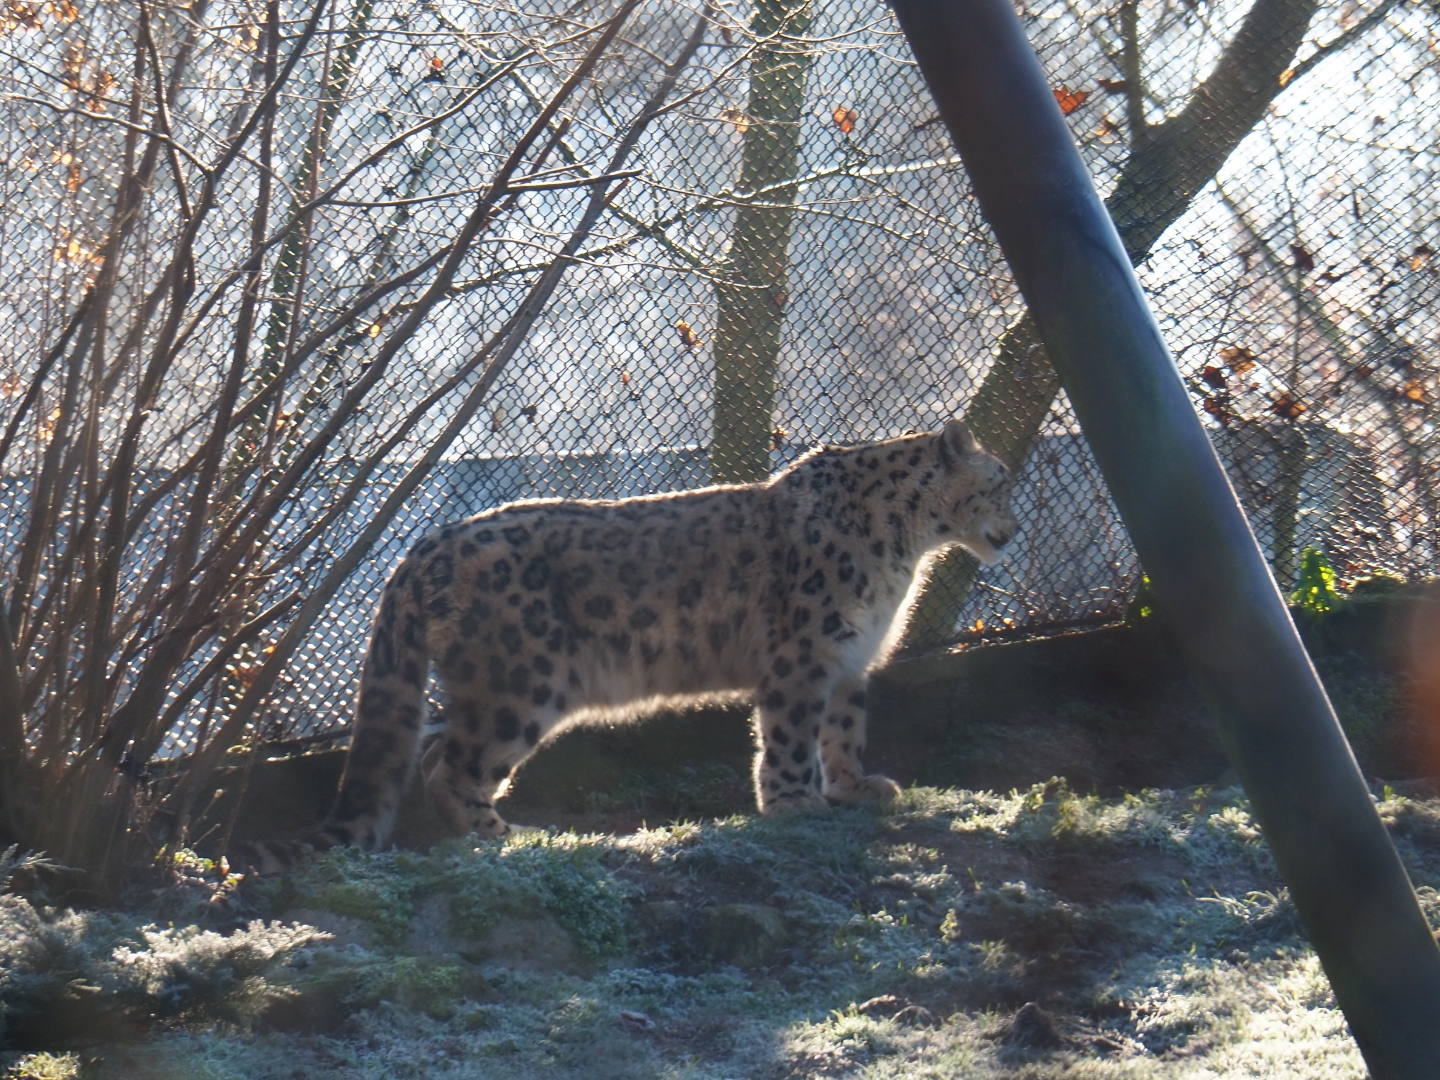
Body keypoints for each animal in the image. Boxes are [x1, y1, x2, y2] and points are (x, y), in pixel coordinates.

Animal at [242, 420, 1016, 870]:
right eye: (1000, 484)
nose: (1010, 530)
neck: (904, 550)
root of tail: (421, 549)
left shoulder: (850, 660)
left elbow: (844, 731)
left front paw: (857, 787)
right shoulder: (804, 655)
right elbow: (793, 735)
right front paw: (794, 802)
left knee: (436, 756)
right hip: (522, 683)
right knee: (447, 764)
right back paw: (502, 836)